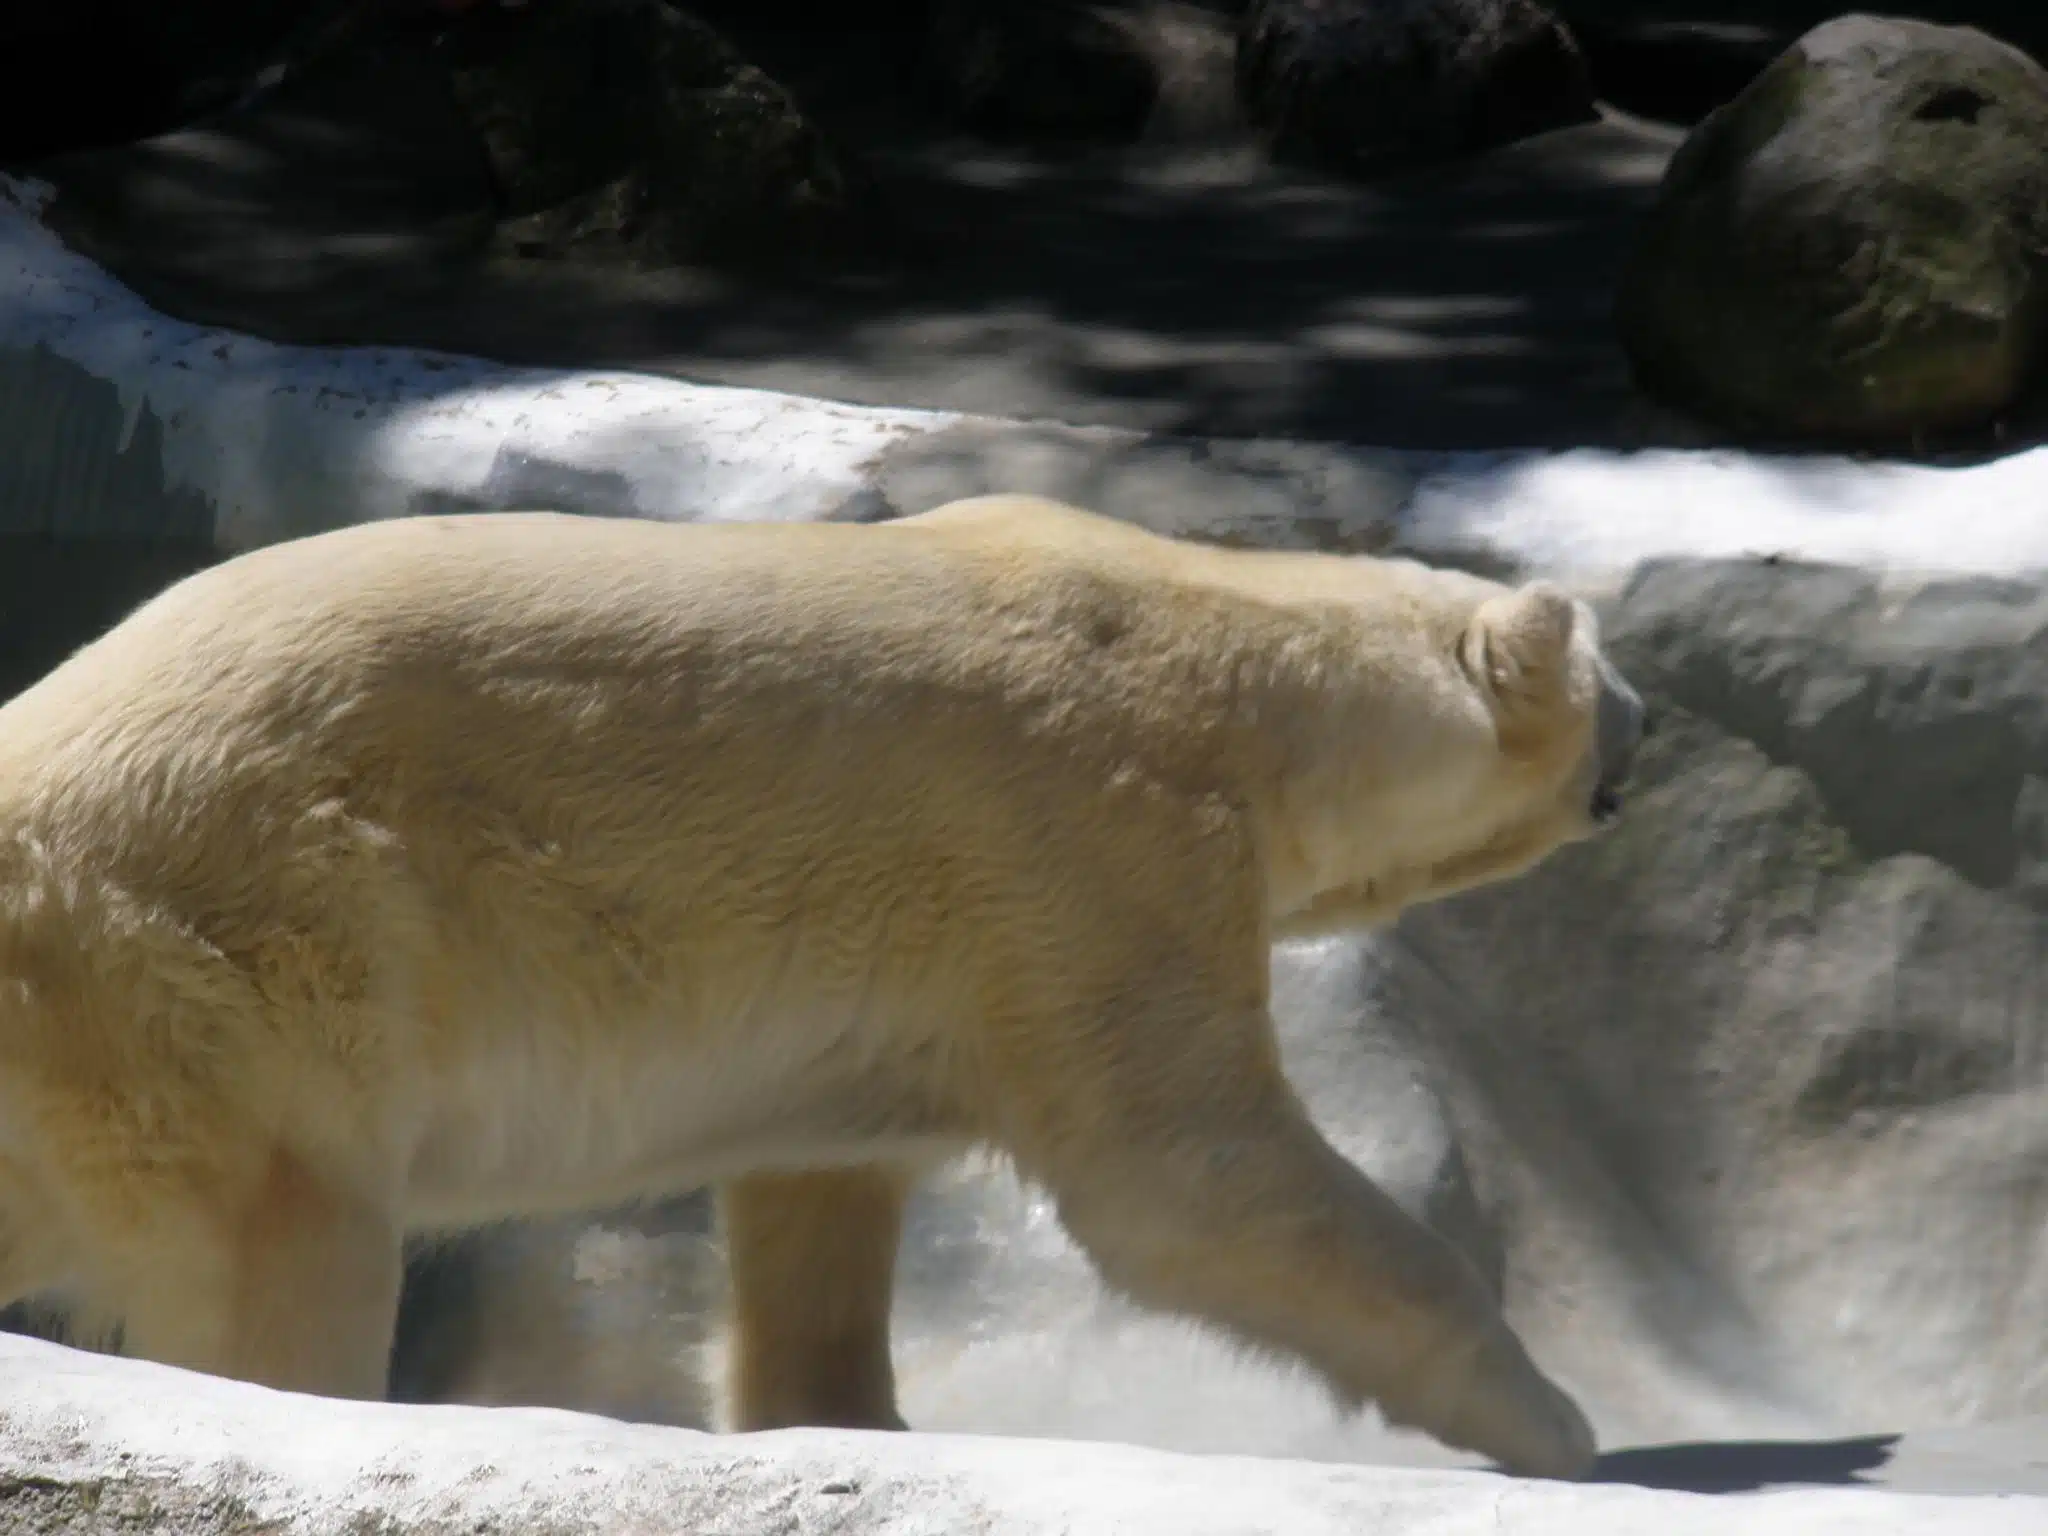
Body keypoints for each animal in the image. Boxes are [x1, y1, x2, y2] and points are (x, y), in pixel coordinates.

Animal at [0, 492, 1643, 1480]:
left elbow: (820, 1194)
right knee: (284, 1257)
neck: (1230, 667)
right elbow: (1186, 1175)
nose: (1646, 730)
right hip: (247, 943)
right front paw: (1557, 1422)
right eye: (1611, 674)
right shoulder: (1092, 836)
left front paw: (843, 1420)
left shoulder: (898, 969)